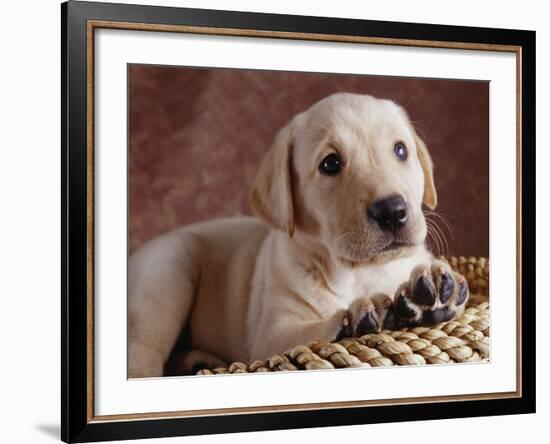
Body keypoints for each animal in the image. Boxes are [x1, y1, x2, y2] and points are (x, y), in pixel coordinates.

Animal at [129, 93, 470, 378]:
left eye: (401, 150)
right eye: (330, 164)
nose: (392, 210)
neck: (360, 273)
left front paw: (434, 291)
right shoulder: (271, 335)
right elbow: (309, 334)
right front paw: (354, 318)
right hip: (169, 269)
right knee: (143, 351)